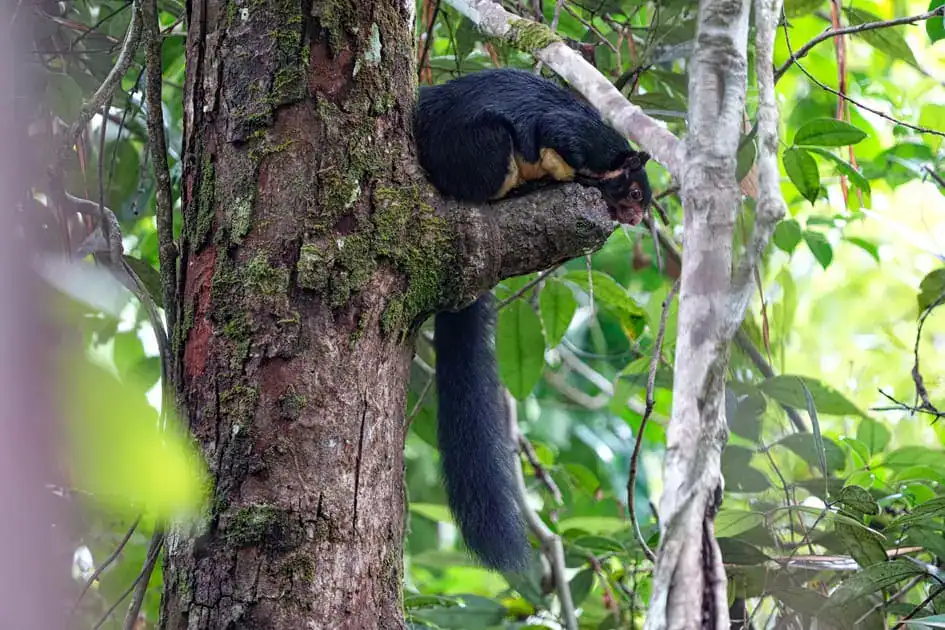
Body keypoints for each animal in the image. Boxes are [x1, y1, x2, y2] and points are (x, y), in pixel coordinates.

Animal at [414, 68, 653, 571]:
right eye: (634, 192)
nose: (636, 217)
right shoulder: (569, 136)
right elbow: (554, 145)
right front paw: (573, 178)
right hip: (482, 149)